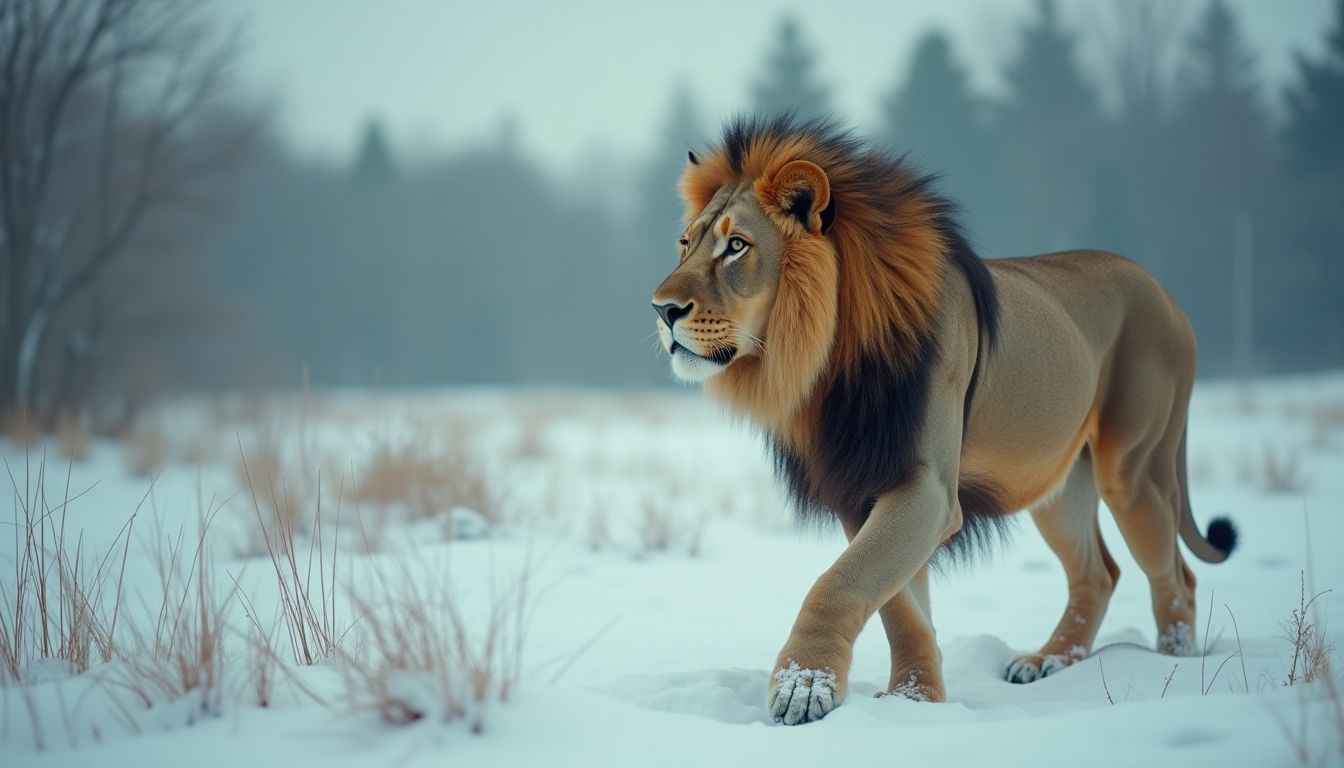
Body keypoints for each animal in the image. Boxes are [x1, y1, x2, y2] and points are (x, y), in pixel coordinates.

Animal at [651, 115, 1237, 725]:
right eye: (686, 243)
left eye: (736, 246)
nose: (662, 309)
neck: (828, 364)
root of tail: (1164, 291)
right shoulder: (862, 488)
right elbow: (900, 607)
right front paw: (915, 699)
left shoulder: (927, 488)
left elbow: (840, 581)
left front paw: (803, 683)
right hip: (1057, 481)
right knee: (1098, 573)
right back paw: (1048, 662)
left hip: (1133, 468)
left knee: (1176, 575)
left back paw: (1171, 670)